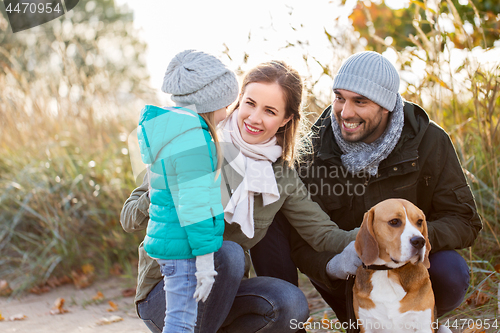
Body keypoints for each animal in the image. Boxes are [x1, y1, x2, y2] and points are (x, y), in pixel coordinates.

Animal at [352, 198, 454, 330]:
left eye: (419, 222)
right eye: (394, 221)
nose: (420, 241)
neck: (387, 271)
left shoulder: (424, 324)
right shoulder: (367, 326)